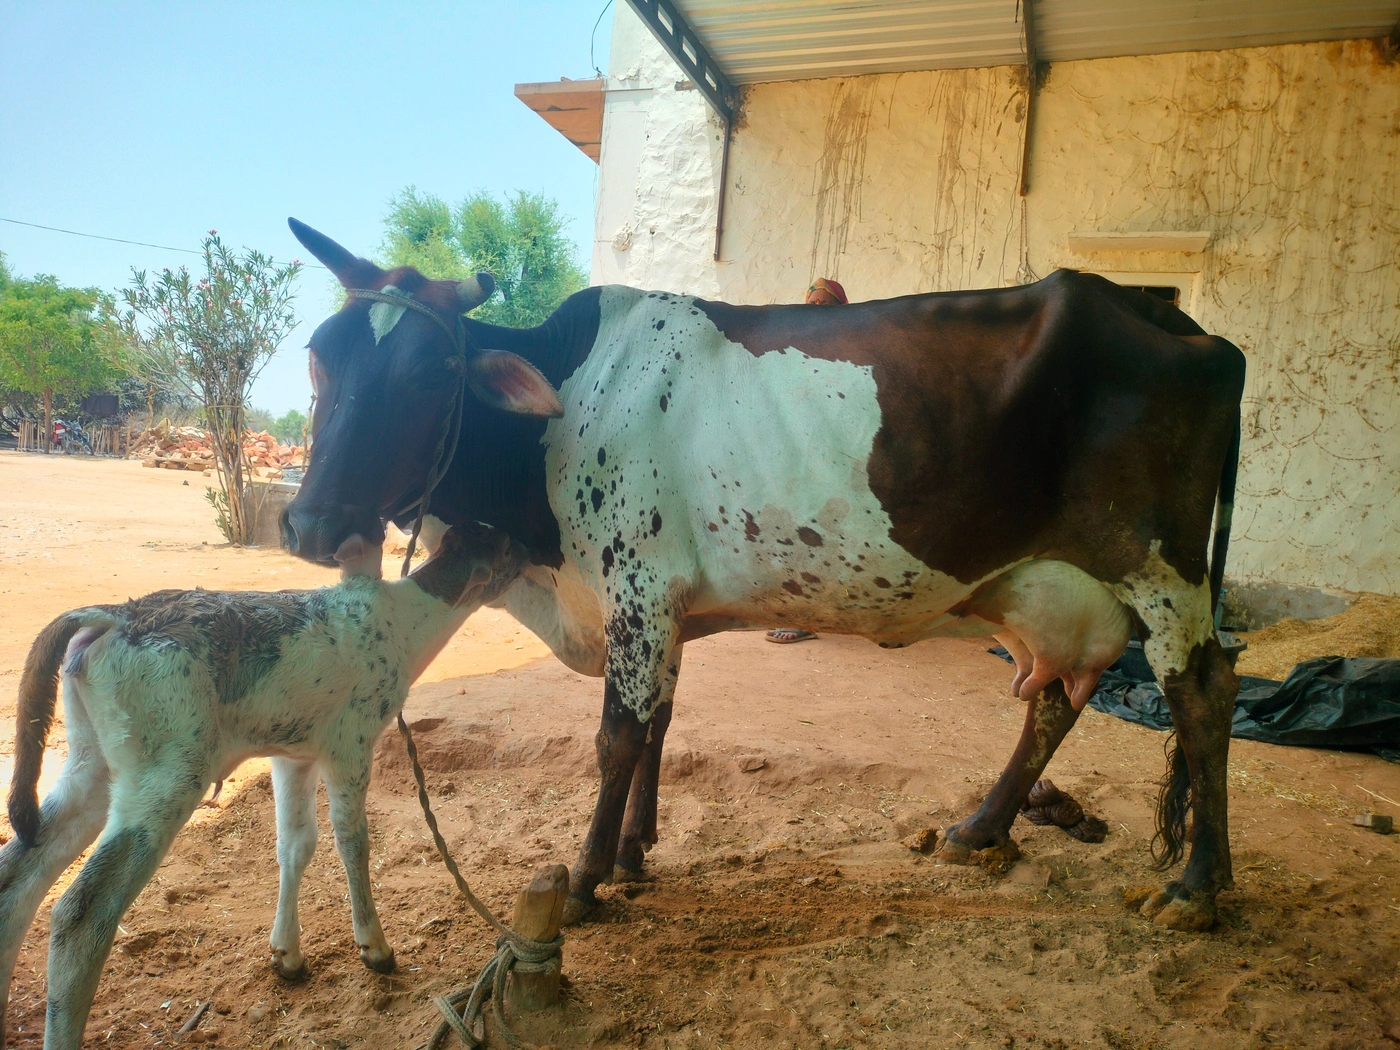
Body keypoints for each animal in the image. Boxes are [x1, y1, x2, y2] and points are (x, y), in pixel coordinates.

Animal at [280, 219, 1245, 934]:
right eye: (320, 356)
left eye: (432, 373)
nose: (312, 523)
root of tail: (1185, 328)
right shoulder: (661, 607)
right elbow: (659, 725)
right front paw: (633, 852)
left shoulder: (637, 589)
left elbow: (618, 737)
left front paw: (589, 876)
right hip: (1056, 589)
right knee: (1053, 700)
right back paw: (979, 829)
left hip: (1162, 570)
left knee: (1203, 694)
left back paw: (1196, 888)